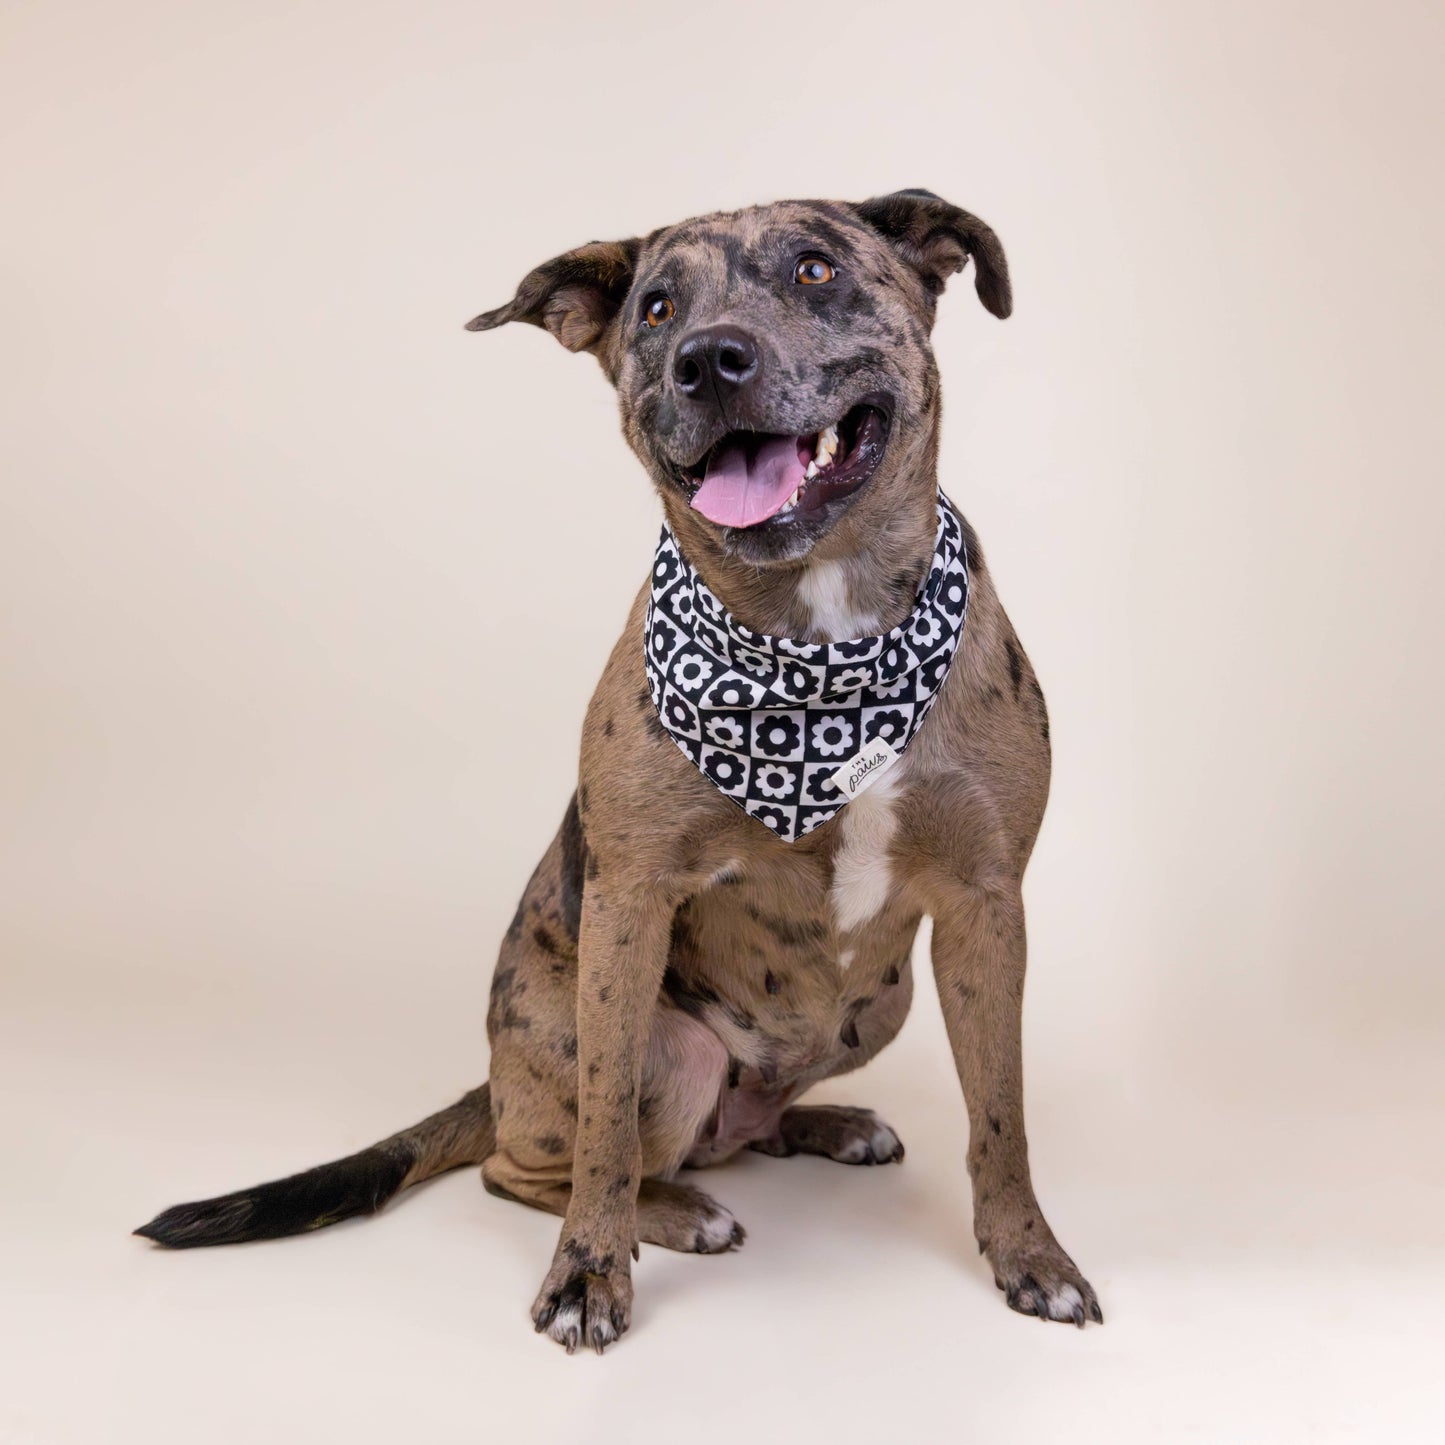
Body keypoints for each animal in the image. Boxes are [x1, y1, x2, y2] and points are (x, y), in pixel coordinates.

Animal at [137, 186, 1103, 1346]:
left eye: (816, 270)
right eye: (655, 308)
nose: (707, 360)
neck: (818, 644)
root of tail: (493, 1080)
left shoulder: (983, 904)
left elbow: (1000, 1112)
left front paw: (1029, 1253)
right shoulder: (632, 896)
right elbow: (603, 1128)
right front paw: (588, 1272)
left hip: (882, 1001)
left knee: (745, 1124)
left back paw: (817, 1125)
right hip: (667, 1049)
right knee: (537, 1163)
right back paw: (674, 1210)